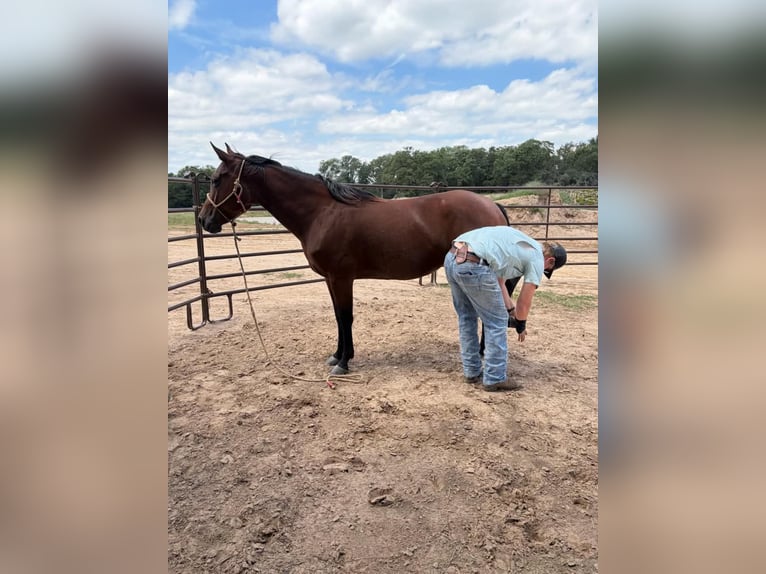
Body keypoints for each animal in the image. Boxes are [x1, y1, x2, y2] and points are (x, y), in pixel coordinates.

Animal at [199, 143, 511, 375]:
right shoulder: (330, 279)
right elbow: (338, 317)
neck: (322, 212)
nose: (204, 220)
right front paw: (337, 355)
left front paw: (344, 363)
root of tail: (491, 205)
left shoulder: (341, 278)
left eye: (216, 179)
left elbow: (345, 316)